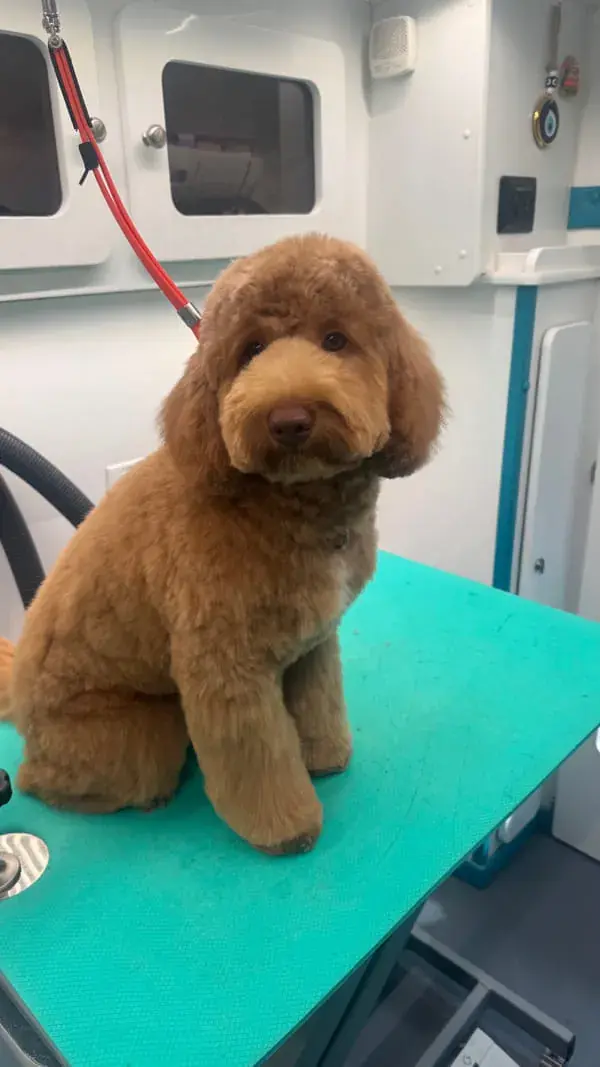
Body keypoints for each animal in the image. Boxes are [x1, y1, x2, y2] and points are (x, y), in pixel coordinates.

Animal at [0, 234, 445, 854]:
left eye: (335, 339)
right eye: (250, 350)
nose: (289, 419)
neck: (290, 502)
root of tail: (19, 706)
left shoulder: (312, 641)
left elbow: (319, 702)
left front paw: (325, 757)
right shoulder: (225, 666)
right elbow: (257, 759)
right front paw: (286, 827)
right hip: (139, 730)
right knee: (45, 781)